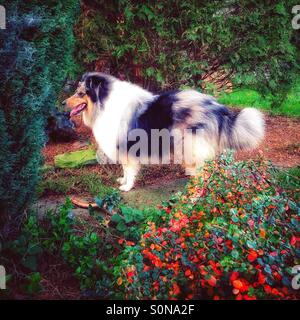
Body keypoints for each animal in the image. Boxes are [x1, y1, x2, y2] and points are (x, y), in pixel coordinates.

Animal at [62, 72, 262, 191]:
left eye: (80, 93)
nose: (63, 103)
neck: (103, 102)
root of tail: (217, 106)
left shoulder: (127, 147)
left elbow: (129, 169)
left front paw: (127, 187)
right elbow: (125, 170)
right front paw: (122, 181)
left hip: (192, 142)